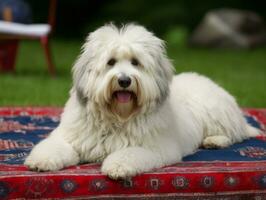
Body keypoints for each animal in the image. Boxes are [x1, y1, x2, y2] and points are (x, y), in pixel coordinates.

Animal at [24, 23, 258, 180]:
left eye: (135, 62)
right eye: (110, 62)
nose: (124, 80)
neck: (117, 116)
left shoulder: (155, 147)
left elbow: (128, 154)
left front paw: (117, 167)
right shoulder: (70, 137)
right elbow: (54, 146)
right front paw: (40, 161)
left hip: (215, 112)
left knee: (235, 134)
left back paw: (215, 140)